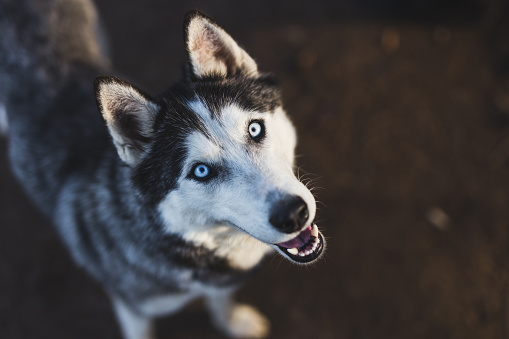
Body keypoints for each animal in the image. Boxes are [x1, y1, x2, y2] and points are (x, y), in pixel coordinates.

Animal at [0, 0, 326, 338]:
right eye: (200, 171)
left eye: (254, 129)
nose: (293, 214)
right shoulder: (133, 308)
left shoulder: (218, 284)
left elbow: (221, 300)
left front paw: (233, 322)